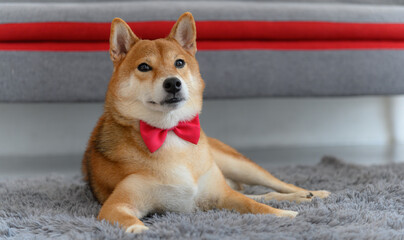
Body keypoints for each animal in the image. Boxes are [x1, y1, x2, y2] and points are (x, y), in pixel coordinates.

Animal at [81, 12, 328, 233]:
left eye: (179, 63)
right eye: (144, 67)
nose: (173, 83)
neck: (172, 132)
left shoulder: (222, 194)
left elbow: (254, 205)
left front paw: (284, 214)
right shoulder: (118, 204)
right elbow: (129, 221)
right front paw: (142, 231)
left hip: (235, 164)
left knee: (274, 186)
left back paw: (310, 193)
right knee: (262, 193)